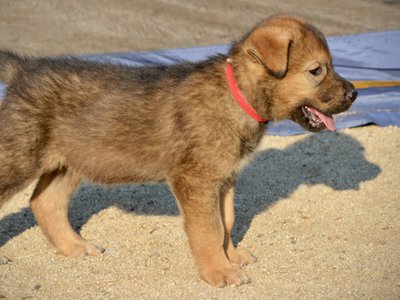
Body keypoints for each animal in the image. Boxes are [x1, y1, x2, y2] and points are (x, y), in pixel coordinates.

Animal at [0, 15, 356, 288]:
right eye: (316, 70)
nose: (354, 93)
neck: (236, 93)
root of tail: (25, 71)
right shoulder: (196, 181)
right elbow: (209, 229)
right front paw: (219, 271)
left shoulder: (223, 178)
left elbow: (226, 221)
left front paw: (231, 256)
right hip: (20, 158)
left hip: (71, 162)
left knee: (45, 203)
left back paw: (75, 247)